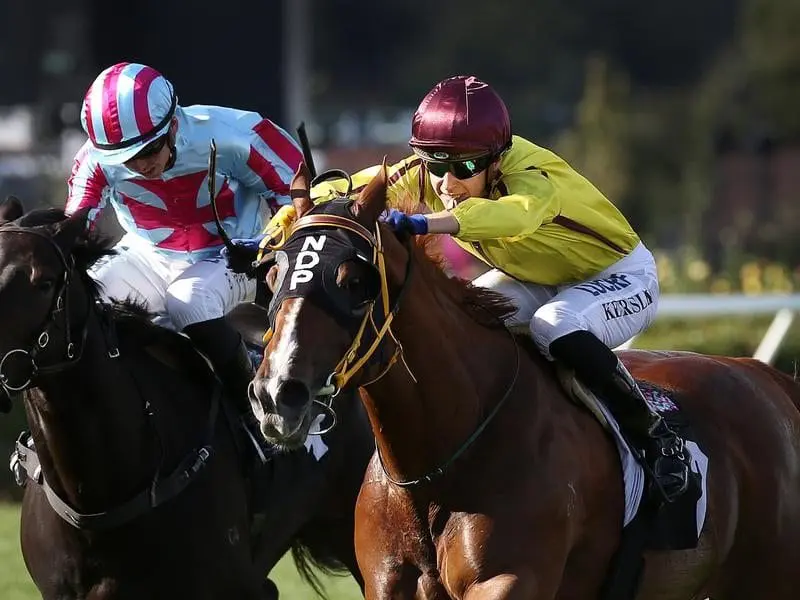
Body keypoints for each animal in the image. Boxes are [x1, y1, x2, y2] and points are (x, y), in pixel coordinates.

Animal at [253, 164, 800, 600]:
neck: (435, 470)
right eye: (275, 273)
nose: (276, 393)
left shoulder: (509, 581)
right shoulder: (388, 582)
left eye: (352, 281)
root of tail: (770, 378)